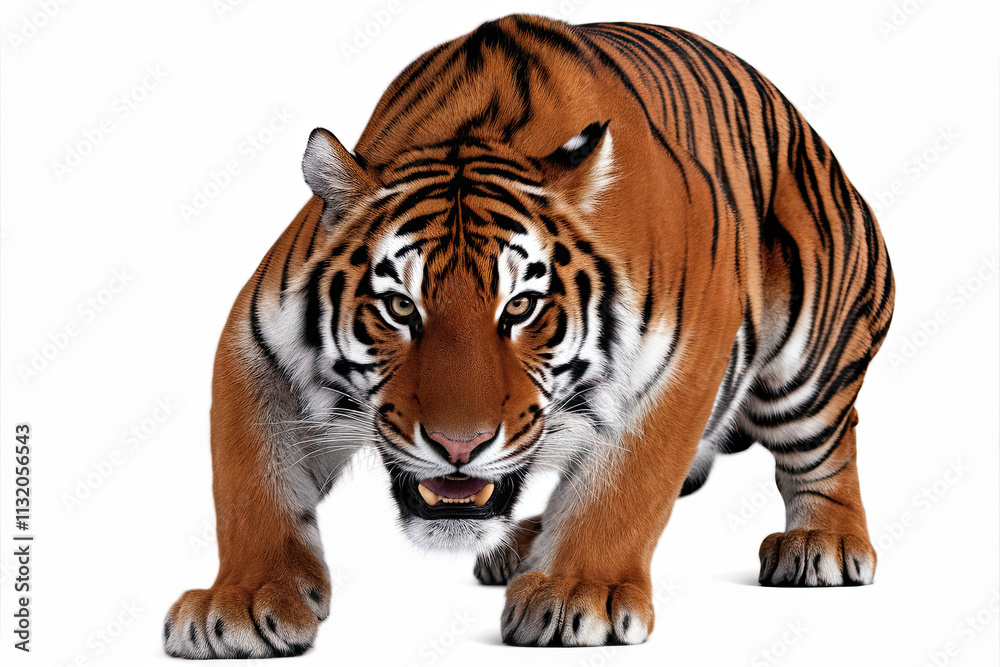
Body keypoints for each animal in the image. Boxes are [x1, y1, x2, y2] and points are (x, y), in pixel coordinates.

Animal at [164, 13, 894, 657]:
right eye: (399, 306)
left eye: (520, 308)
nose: (459, 445)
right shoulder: (257, 344)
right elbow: (251, 482)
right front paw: (242, 600)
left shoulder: (688, 352)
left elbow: (626, 485)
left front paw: (579, 592)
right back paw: (519, 544)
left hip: (811, 358)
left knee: (827, 445)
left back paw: (820, 543)